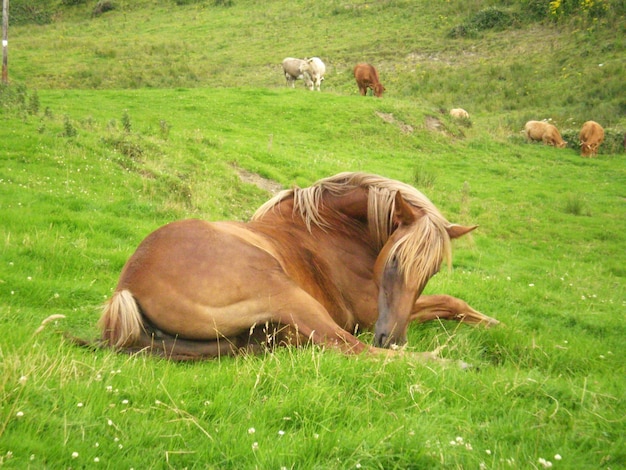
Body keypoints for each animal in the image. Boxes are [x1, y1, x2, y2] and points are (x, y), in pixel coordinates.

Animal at [94, 173, 498, 364]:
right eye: (396, 259)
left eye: (431, 271)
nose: (392, 338)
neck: (332, 229)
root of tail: (127, 286)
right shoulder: (370, 314)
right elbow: (446, 301)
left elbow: (452, 301)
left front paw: (493, 324)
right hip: (289, 294)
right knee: (352, 349)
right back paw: (446, 362)